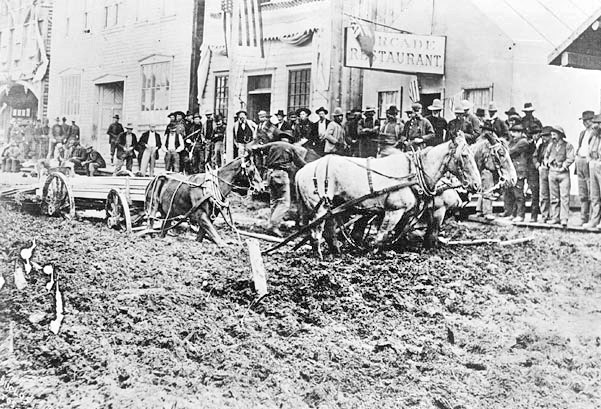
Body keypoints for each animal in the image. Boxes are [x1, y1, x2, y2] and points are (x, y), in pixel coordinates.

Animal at [298, 133, 480, 255]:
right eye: (464, 155)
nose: (477, 185)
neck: (414, 173)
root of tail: (301, 171)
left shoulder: (408, 213)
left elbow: (400, 233)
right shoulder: (395, 211)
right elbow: (382, 235)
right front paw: (372, 252)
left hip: (332, 206)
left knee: (329, 230)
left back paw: (335, 251)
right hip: (319, 207)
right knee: (316, 231)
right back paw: (319, 256)